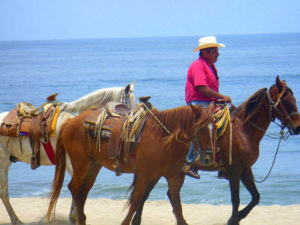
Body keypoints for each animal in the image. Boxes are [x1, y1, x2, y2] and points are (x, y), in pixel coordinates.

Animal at [0, 82, 135, 225]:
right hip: (2, 162)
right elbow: (77, 188)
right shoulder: (73, 164)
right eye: (125, 108)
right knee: (4, 193)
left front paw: (74, 216)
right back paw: (16, 220)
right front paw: (74, 216)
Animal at [46, 102, 216, 225]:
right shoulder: (144, 175)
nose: (207, 158)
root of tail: (69, 122)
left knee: (82, 192)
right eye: (201, 129)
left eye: (215, 127)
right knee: (74, 188)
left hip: (93, 166)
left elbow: (177, 206)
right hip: (81, 164)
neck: (163, 138)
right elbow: (135, 202)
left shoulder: (173, 177)